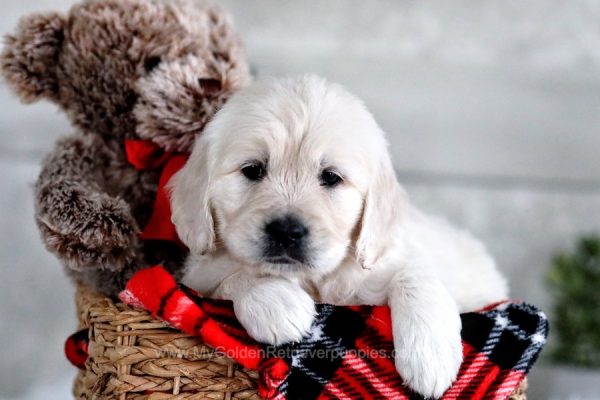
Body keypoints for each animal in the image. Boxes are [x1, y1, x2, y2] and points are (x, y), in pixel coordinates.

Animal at [169, 75, 506, 396]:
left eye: (331, 177)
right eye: (252, 170)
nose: (286, 231)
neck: (317, 282)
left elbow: (416, 275)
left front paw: (430, 358)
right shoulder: (199, 273)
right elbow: (226, 282)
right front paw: (276, 302)